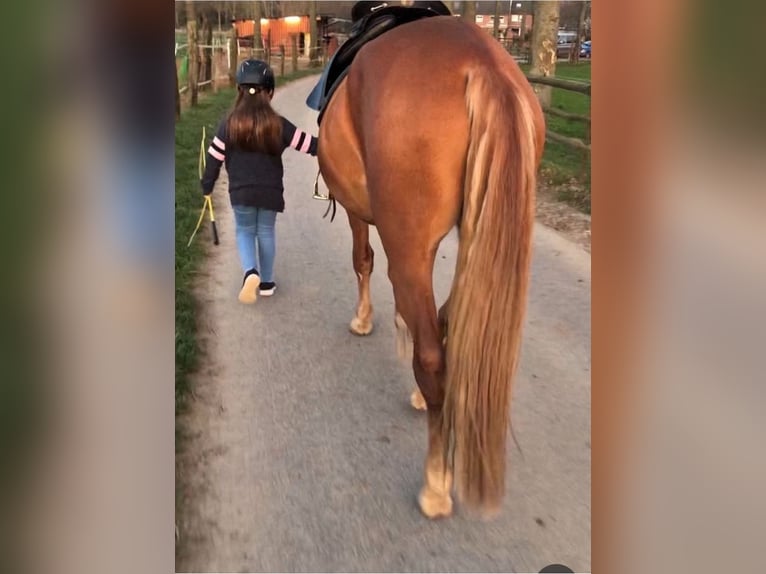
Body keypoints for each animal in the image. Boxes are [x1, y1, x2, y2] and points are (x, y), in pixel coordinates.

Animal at [318, 15, 544, 520]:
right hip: (479, 233)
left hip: (413, 246)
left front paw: (363, 320)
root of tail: (483, 63)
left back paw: (436, 483)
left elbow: (363, 261)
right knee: (448, 323)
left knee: (432, 356)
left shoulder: (360, 213)